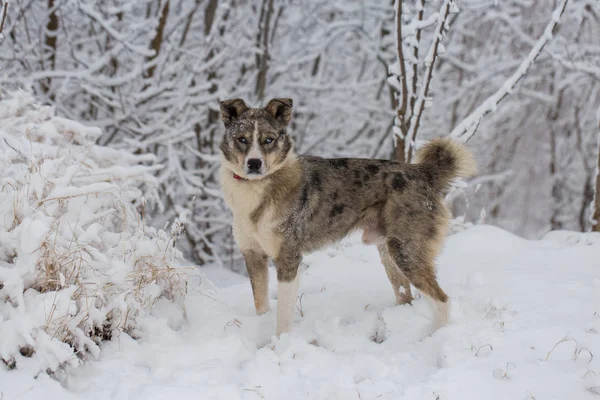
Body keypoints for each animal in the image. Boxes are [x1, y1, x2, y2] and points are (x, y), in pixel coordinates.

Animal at [218, 97, 476, 334]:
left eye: (268, 140)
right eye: (242, 139)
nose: (254, 163)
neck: (256, 189)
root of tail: (423, 173)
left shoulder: (288, 258)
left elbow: (282, 315)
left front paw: (280, 344)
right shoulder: (253, 256)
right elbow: (261, 305)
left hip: (407, 251)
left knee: (443, 301)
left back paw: (430, 336)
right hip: (389, 253)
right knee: (406, 296)